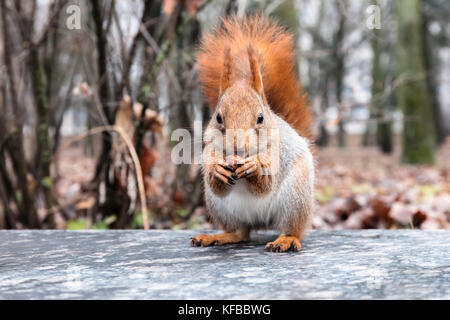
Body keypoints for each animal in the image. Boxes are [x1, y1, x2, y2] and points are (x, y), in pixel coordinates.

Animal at [189, 15, 312, 251]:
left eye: (260, 118)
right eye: (218, 117)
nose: (237, 147)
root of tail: (261, 222)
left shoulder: (277, 152)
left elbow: (266, 185)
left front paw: (254, 167)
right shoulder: (209, 149)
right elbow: (214, 181)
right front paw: (217, 170)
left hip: (297, 196)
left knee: (292, 228)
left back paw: (286, 240)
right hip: (219, 207)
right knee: (241, 232)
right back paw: (218, 236)